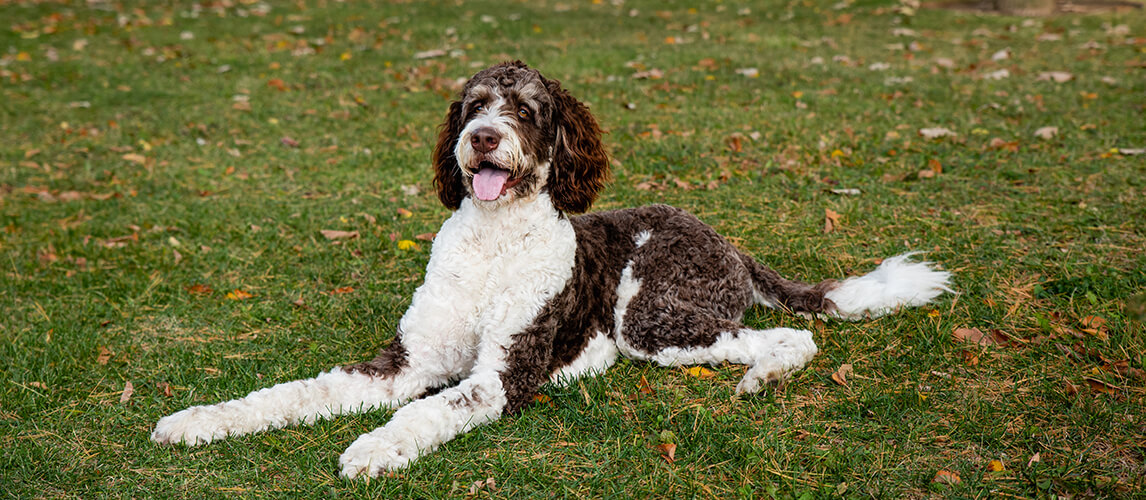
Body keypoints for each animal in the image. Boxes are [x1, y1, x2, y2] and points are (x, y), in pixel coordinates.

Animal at [154, 60, 958, 479]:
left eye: (528, 111)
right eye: (475, 105)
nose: (482, 138)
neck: (491, 246)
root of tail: (725, 240)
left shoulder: (499, 376)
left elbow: (426, 411)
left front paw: (374, 447)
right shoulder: (404, 362)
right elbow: (294, 393)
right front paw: (201, 420)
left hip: (650, 320)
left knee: (787, 338)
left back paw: (759, 376)